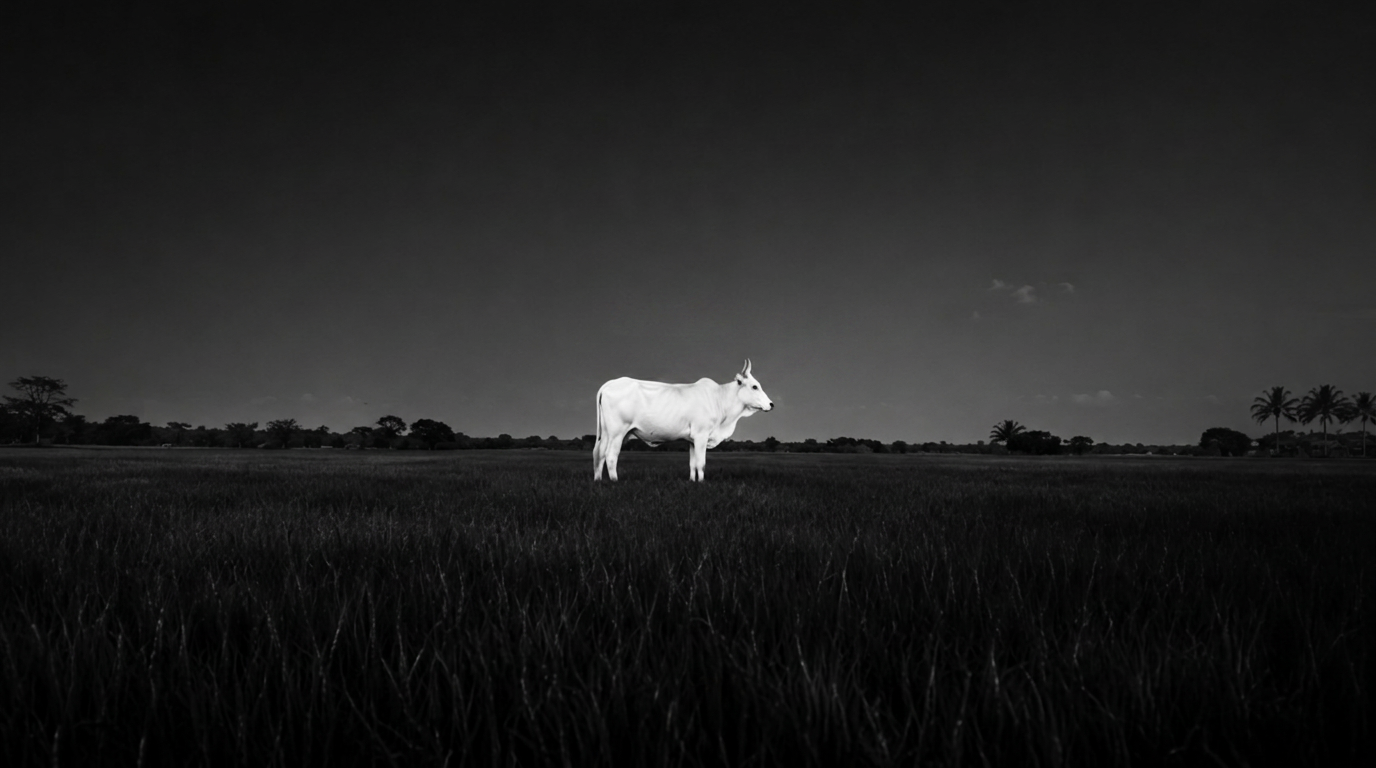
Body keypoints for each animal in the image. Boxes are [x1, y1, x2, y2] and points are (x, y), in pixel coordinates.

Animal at [594, 359, 774, 482]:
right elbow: (701, 463)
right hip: (618, 432)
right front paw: (701, 483)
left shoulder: (692, 440)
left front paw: (692, 481)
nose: (771, 404)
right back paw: (615, 481)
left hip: (607, 433)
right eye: (754, 386)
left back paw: (599, 480)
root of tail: (610, 384)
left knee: (600, 453)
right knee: (610, 455)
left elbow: (692, 464)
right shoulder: (701, 436)